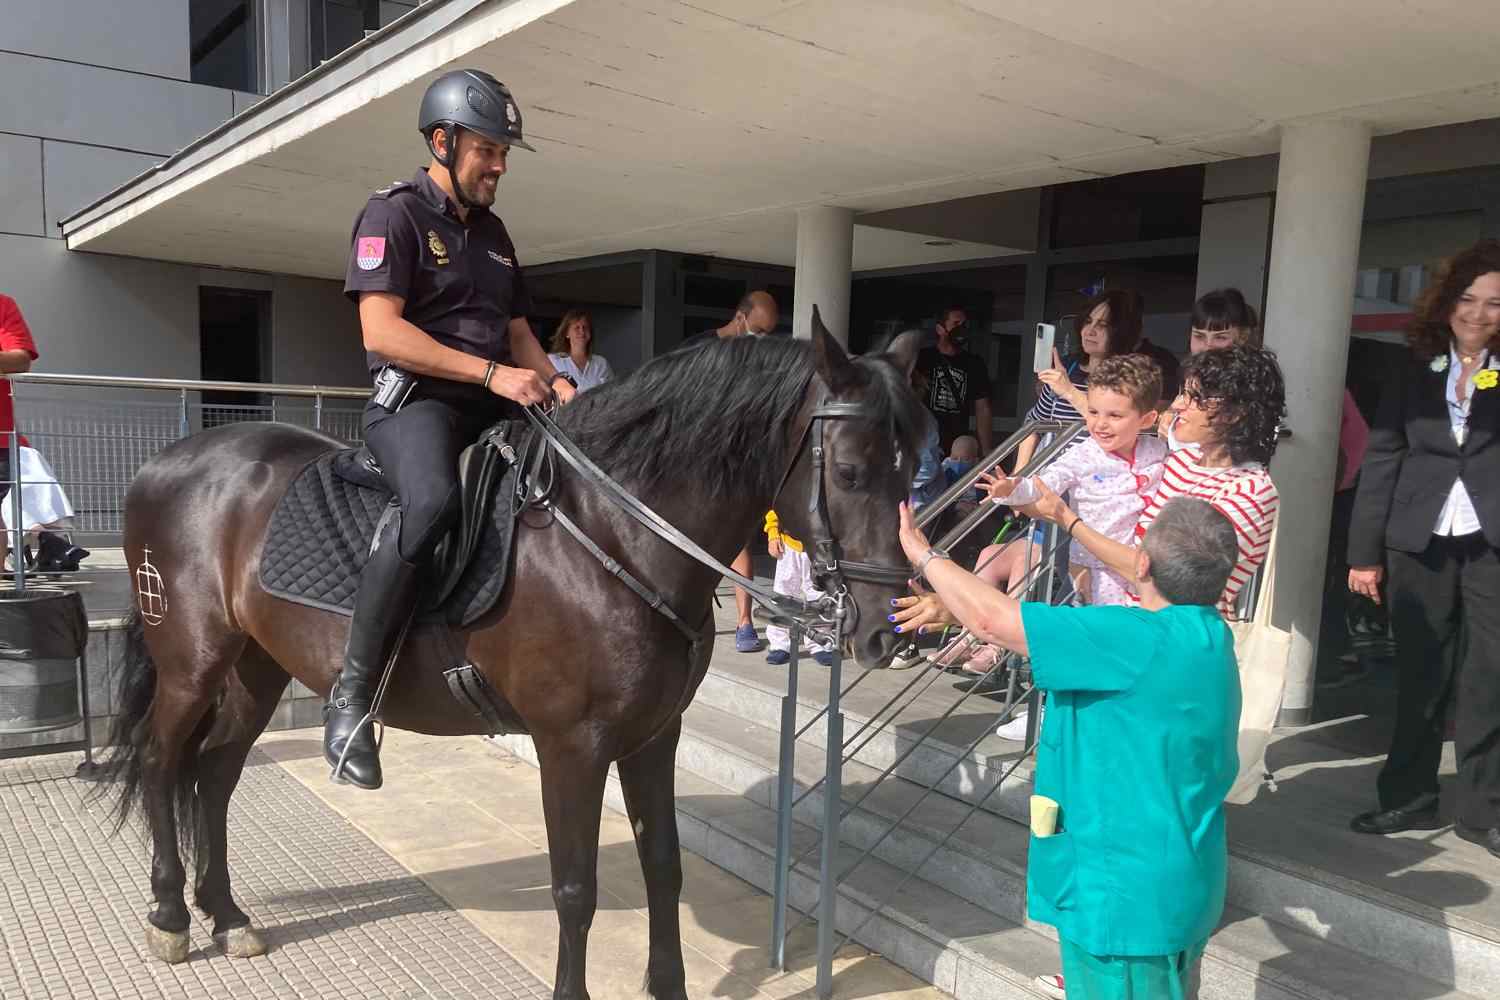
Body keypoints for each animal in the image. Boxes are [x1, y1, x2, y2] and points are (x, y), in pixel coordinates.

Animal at [102, 325, 924, 995]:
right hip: (193, 662)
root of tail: (164, 465)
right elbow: (575, 890)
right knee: (162, 760)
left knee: (214, 773)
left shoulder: (654, 739)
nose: (888, 633)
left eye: (913, 465)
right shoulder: (572, 747)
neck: (616, 535)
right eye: (850, 471)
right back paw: (172, 915)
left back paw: (227, 914)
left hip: (256, 667)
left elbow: (664, 868)